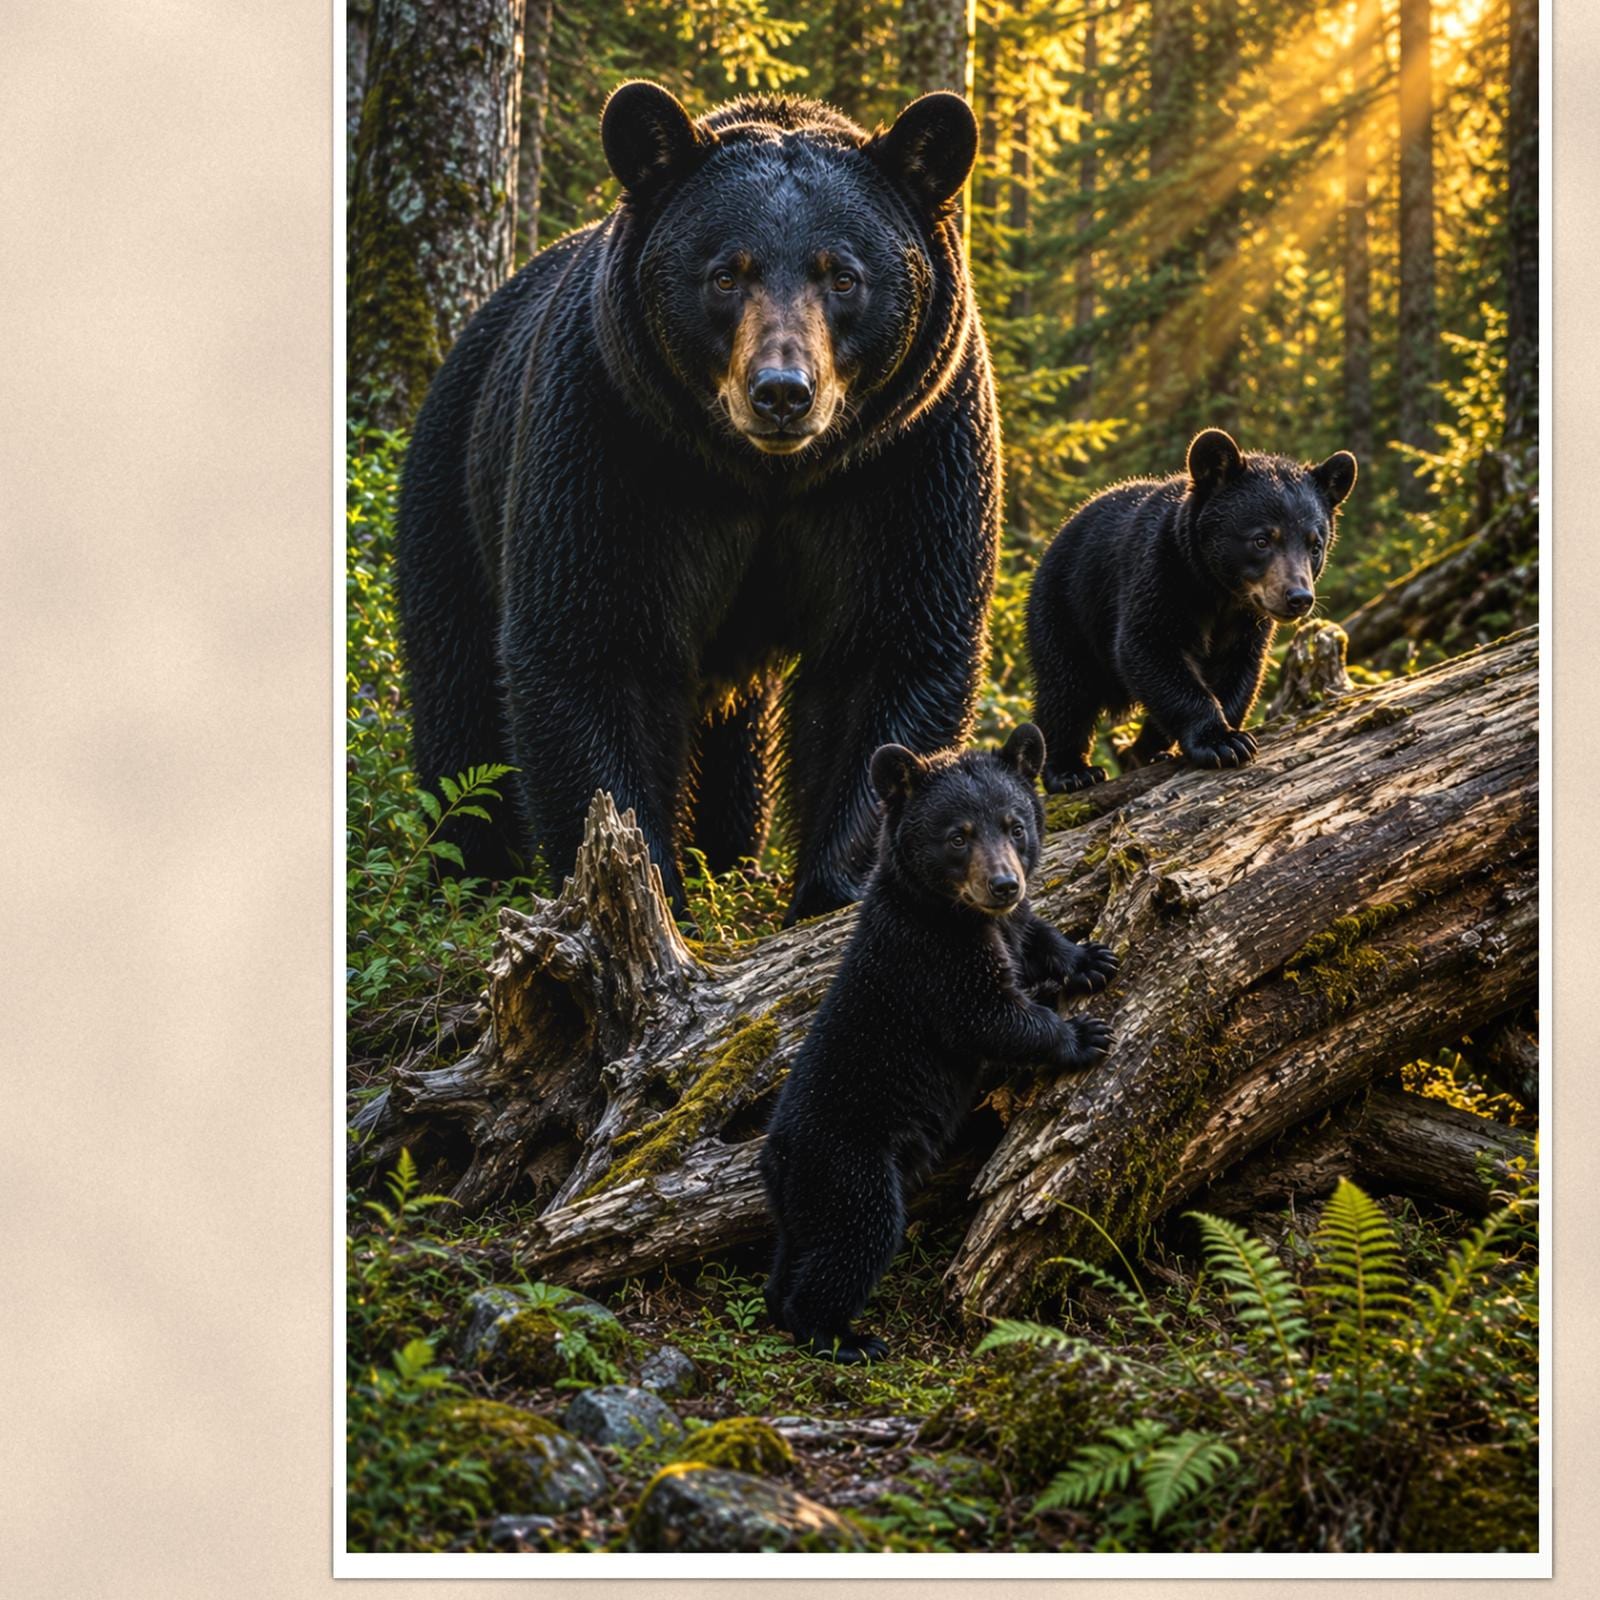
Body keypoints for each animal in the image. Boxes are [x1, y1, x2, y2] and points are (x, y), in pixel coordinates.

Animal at [396, 82, 1001, 925]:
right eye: (726, 274)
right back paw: (469, 877)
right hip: (454, 495)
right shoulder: (614, 439)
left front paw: (835, 886)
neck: (764, 476)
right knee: (458, 698)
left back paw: (730, 856)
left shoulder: (907, 460)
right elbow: (594, 644)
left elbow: (887, 651)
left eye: (842, 275)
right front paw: (645, 891)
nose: (781, 392)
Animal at [758, 724, 1118, 1362]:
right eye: (958, 836)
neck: (954, 912)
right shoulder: (931, 958)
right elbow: (986, 1017)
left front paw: (1089, 959)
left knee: (796, 1249)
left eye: (1015, 825)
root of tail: (775, 1157)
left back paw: (782, 1303)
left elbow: (1034, 938)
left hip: (802, 1198)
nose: (1004, 884)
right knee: (856, 1236)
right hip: (848, 1166)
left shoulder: (1003, 928)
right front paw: (1081, 1033)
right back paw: (840, 1335)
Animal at [1026, 429, 1358, 793]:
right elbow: (1148, 646)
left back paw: (1144, 752)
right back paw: (1072, 771)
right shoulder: (1159, 577)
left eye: (1315, 545)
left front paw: (1227, 733)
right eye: (1261, 540)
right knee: (1066, 690)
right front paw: (1222, 742)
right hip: (1065, 606)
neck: (1218, 592)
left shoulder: (1247, 621)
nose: (1298, 597)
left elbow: (1238, 669)